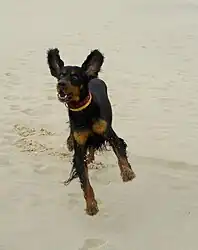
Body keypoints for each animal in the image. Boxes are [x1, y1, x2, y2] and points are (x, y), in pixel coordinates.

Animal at [46, 47, 136, 216]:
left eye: (74, 76)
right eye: (60, 75)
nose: (60, 84)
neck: (83, 111)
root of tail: (93, 77)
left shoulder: (109, 133)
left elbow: (120, 153)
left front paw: (127, 172)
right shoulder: (79, 146)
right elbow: (85, 179)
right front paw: (91, 204)